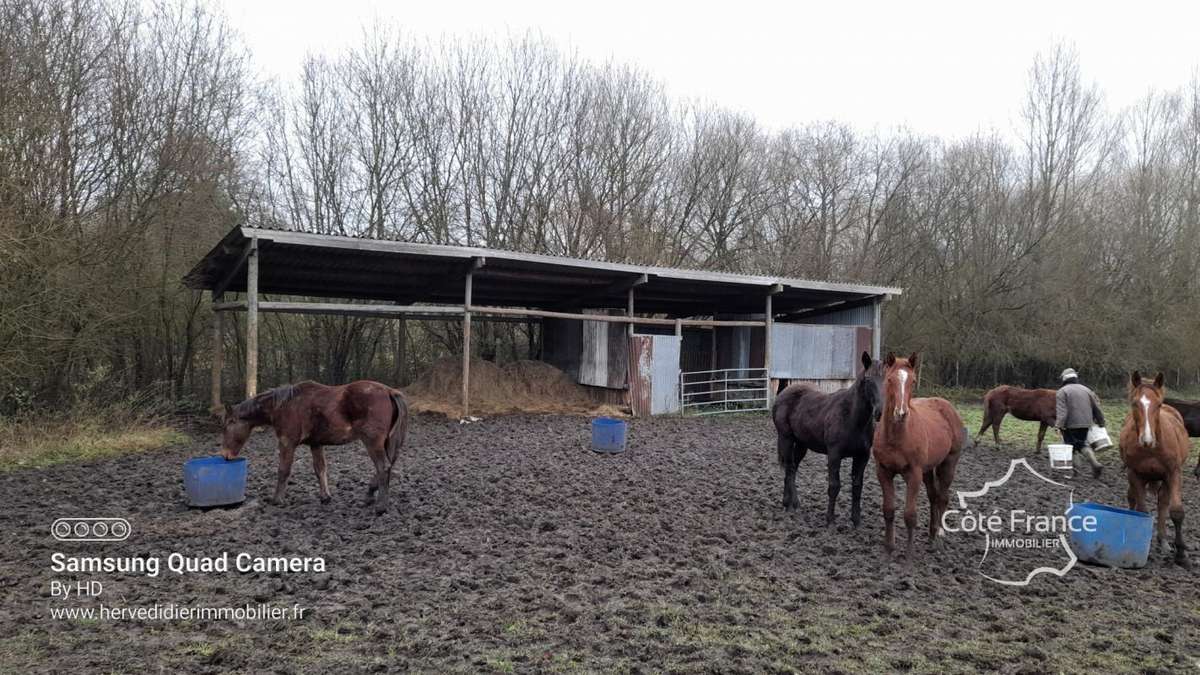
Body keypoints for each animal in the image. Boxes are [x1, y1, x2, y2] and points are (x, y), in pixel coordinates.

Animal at [222, 374, 412, 511]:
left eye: (227, 425)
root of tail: (389, 391)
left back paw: (380, 506)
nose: (225, 455)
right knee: (388, 466)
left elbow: (283, 470)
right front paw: (325, 497)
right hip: (386, 442)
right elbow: (320, 469)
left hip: (372, 442)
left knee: (383, 467)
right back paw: (370, 495)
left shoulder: (287, 443)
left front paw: (277, 500)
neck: (284, 405)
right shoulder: (316, 444)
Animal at [772, 348, 888, 528]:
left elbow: (857, 487)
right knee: (790, 468)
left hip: (802, 444)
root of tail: (783, 394)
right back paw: (790, 504)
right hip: (786, 438)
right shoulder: (834, 454)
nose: (879, 412)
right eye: (868, 380)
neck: (852, 418)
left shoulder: (862, 456)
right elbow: (834, 486)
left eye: (887, 380)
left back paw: (791, 503)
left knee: (793, 468)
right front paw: (830, 520)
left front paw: (856, 521)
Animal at [873, 348, 964, 554]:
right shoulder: (883, 471)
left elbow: (910, 515)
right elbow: (888, 510)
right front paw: (889, 547)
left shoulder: (914, 474)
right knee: (933, 497)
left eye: (913, 381)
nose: (901, 413)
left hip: (948, 463)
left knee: (942, 497)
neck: (897, 436)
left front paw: (909, 553)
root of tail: (947, 406)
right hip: (928, 470)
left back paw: (939, 534)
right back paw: (931, 533)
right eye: (890, 379)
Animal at [1113, 369, 1190, 564]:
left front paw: (1181, 553)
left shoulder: (1174, 473)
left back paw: (1163, 541)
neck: (1152, 449)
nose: (1147, 440)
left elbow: (1176, 511)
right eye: (1135, 403)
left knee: (1162, 503)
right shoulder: (1134, 474)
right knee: (1133, 499)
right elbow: (1142, 511)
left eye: (1159, 404)